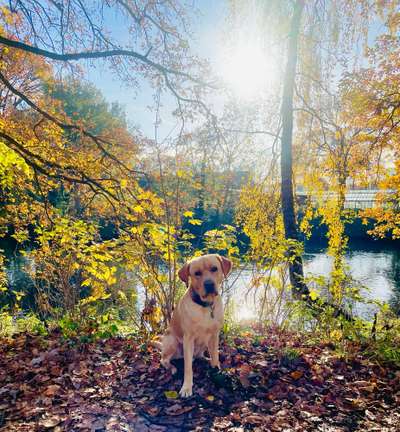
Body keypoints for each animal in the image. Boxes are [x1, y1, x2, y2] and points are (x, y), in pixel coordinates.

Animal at [155, 253, 233, 398]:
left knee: (200, 356)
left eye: (214, 268)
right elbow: (188, 369)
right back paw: (172, 368)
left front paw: (217, 369)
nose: (209, 284)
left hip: (204, 343)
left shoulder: (214, 335)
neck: (205, 306)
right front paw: (187, 387)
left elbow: (215, 356)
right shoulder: (188, 339)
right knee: (164, 360)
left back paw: (206, 359)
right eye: (197, 273)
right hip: (172, 341)